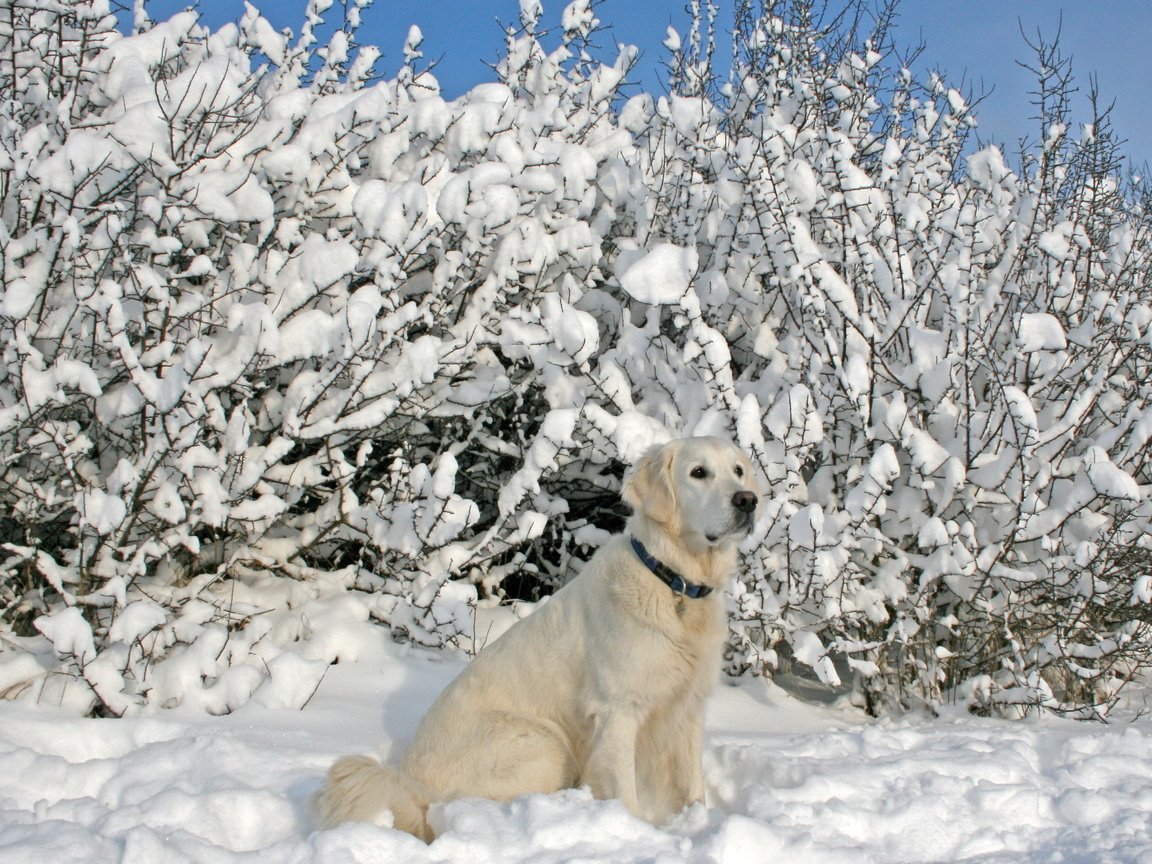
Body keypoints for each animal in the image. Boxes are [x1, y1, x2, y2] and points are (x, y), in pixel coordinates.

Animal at [317, 435, 764, 843]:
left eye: (738, 471)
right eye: (699, 472)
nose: (748, 501)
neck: (674, 583)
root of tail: (412, 787)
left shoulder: (687, 707)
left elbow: (693, 786)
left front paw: (699, 822)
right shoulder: (618, 710)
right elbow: (625, 790)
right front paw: (639, 833)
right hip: (543, 742)